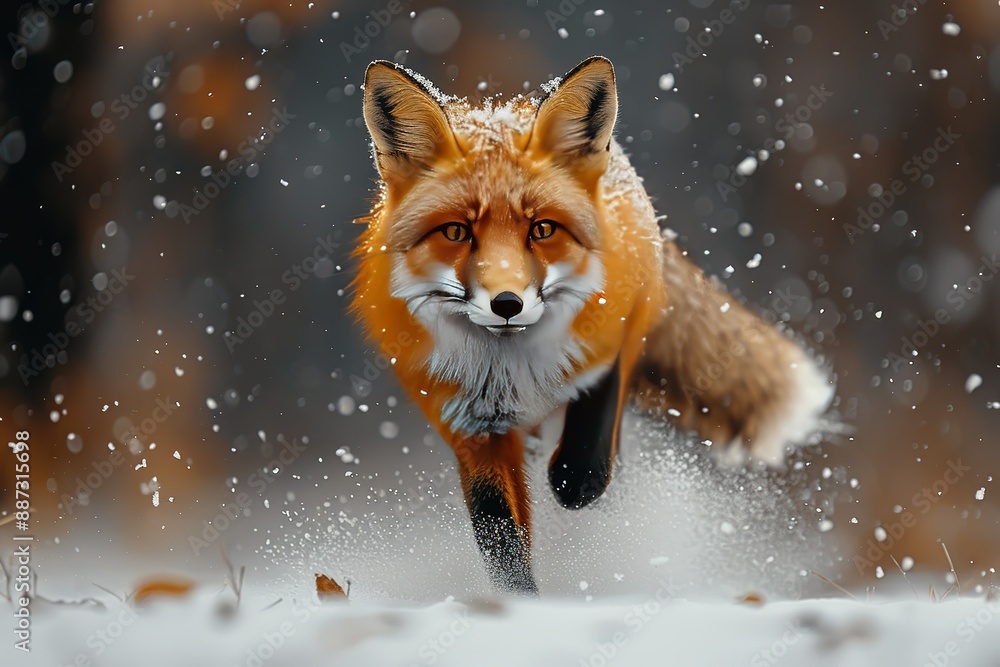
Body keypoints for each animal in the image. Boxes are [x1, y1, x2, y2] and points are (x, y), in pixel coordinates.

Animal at [351, 56, 834, 595]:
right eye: (456, 231)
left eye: (542, 229)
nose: (506, 304)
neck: (510, 368)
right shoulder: (469, 426)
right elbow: (500, 537)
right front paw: (518, 603)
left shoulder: (612, 342)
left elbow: (586, 453)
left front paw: (574, 481)